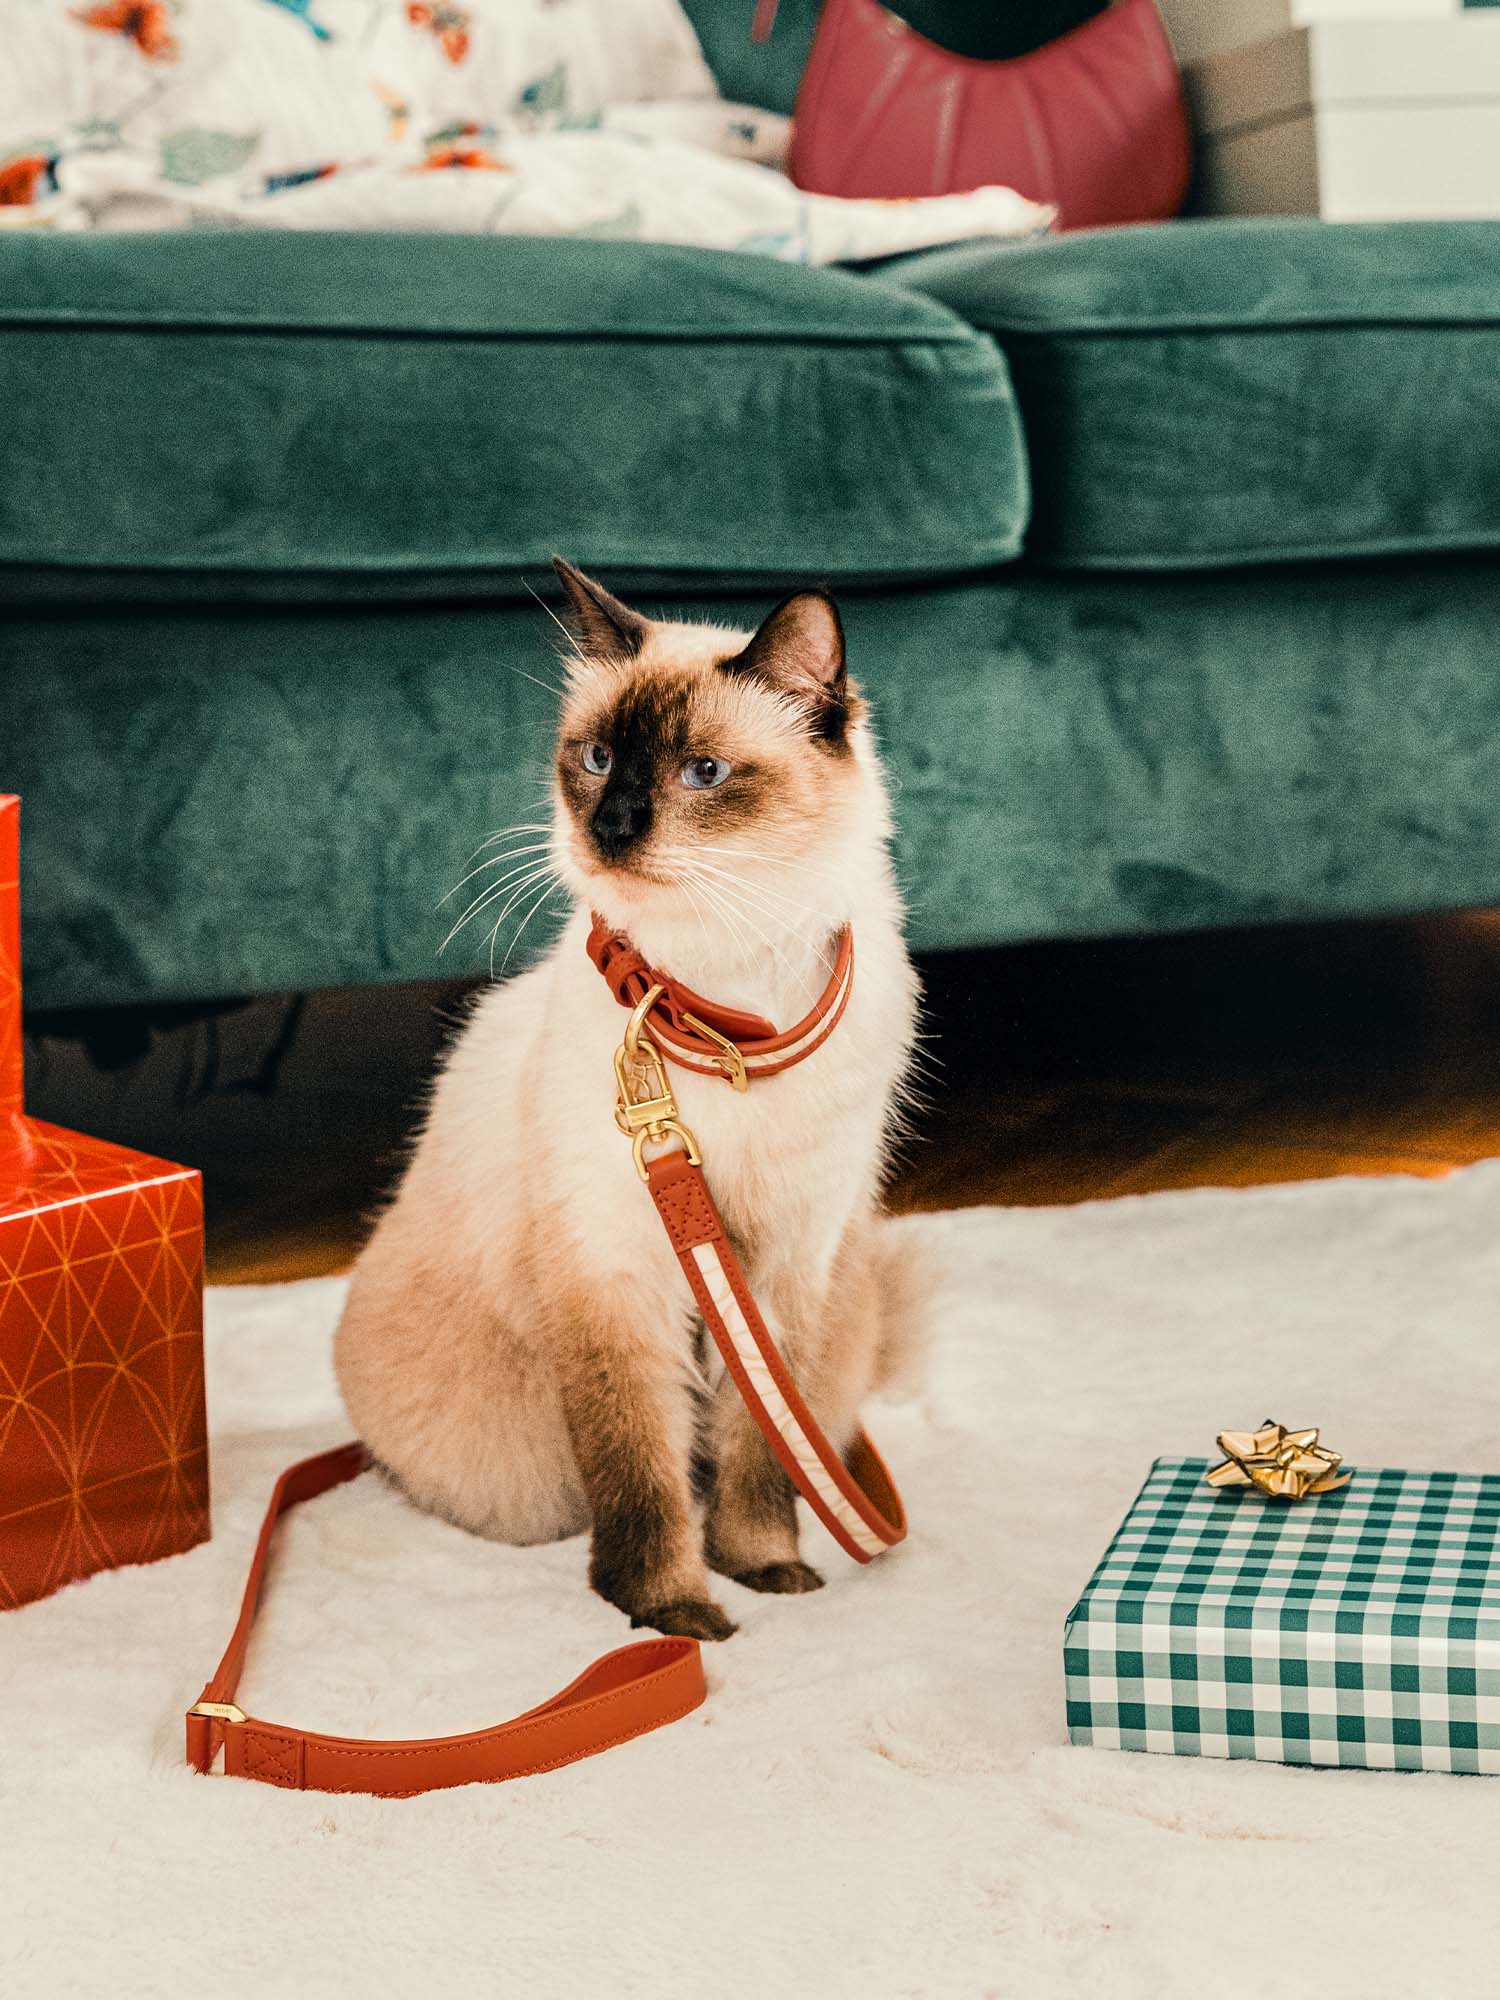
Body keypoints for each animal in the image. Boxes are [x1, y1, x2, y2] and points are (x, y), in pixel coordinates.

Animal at [333, 561, 923, 1641]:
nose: (607, 828)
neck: (725, 1020)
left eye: (704, 773)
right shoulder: (615, 1276)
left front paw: (763, 1567)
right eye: (599, 758)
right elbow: (640, 1468)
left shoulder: (783, 1269)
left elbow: (758, 1450)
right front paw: (674, 1615)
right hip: (517, 1476)